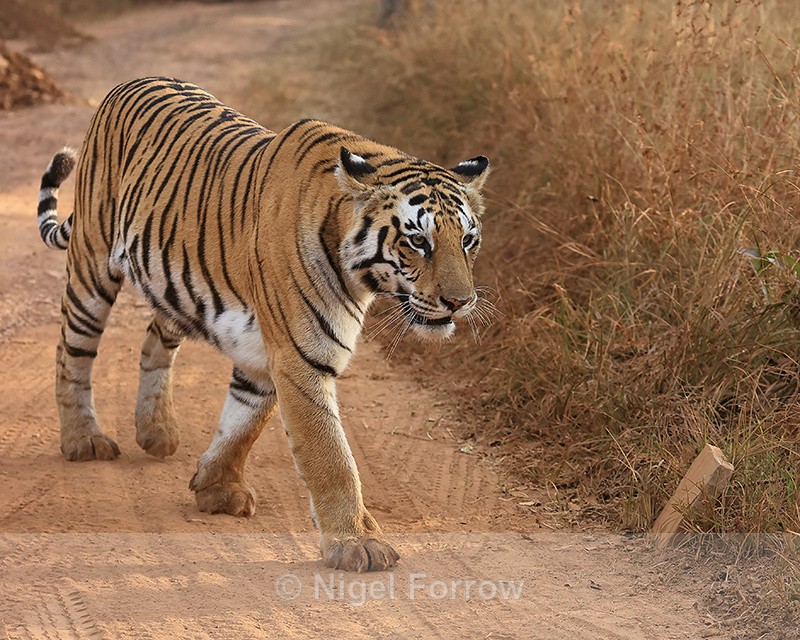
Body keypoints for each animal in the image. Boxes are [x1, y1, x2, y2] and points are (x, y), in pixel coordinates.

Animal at [37, 76, 490, 572]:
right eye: (418, 241)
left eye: (468, 240)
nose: (460, 302)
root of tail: (129, 82)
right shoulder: (301, 357)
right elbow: (330, 457)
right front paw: (356, 543)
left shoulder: (269, 353)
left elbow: (244, 421)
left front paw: (216, 488)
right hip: (92, 265)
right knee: (71, 351)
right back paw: (84, 439)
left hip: (174, 288)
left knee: (154, 341)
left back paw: (156, 432)